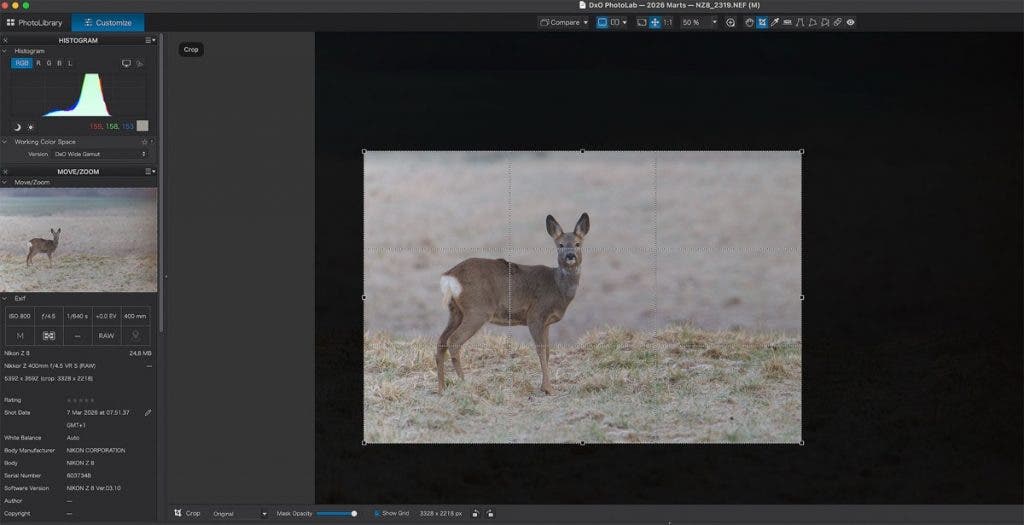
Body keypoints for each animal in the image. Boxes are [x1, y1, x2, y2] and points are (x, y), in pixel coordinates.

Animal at [436, 213, 590, 395]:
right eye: (560, 245)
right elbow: (540, 350)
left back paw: (441, 388)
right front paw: (548, 388)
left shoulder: (546, 323)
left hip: (455, 311)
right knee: (453, 341)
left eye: (578, 243)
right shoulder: (535, 315)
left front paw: (544, 386)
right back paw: (465, 384)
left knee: (441, 341)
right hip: (477, 310)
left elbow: (547, 351)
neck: (557, 286)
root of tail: (449, 276)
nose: (570, 256)